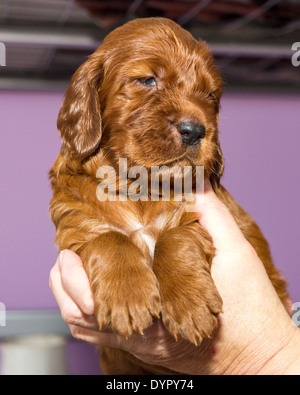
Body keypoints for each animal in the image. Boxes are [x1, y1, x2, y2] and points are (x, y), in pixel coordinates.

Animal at [50, 18, 290, 376]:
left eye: (210, 94)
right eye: (147, 80)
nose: (194, 130)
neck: (137, 186)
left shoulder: (205, 214)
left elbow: (176, 238)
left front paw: (191, 305)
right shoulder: (74, 225)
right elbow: (108, 239)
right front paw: (127, 297)